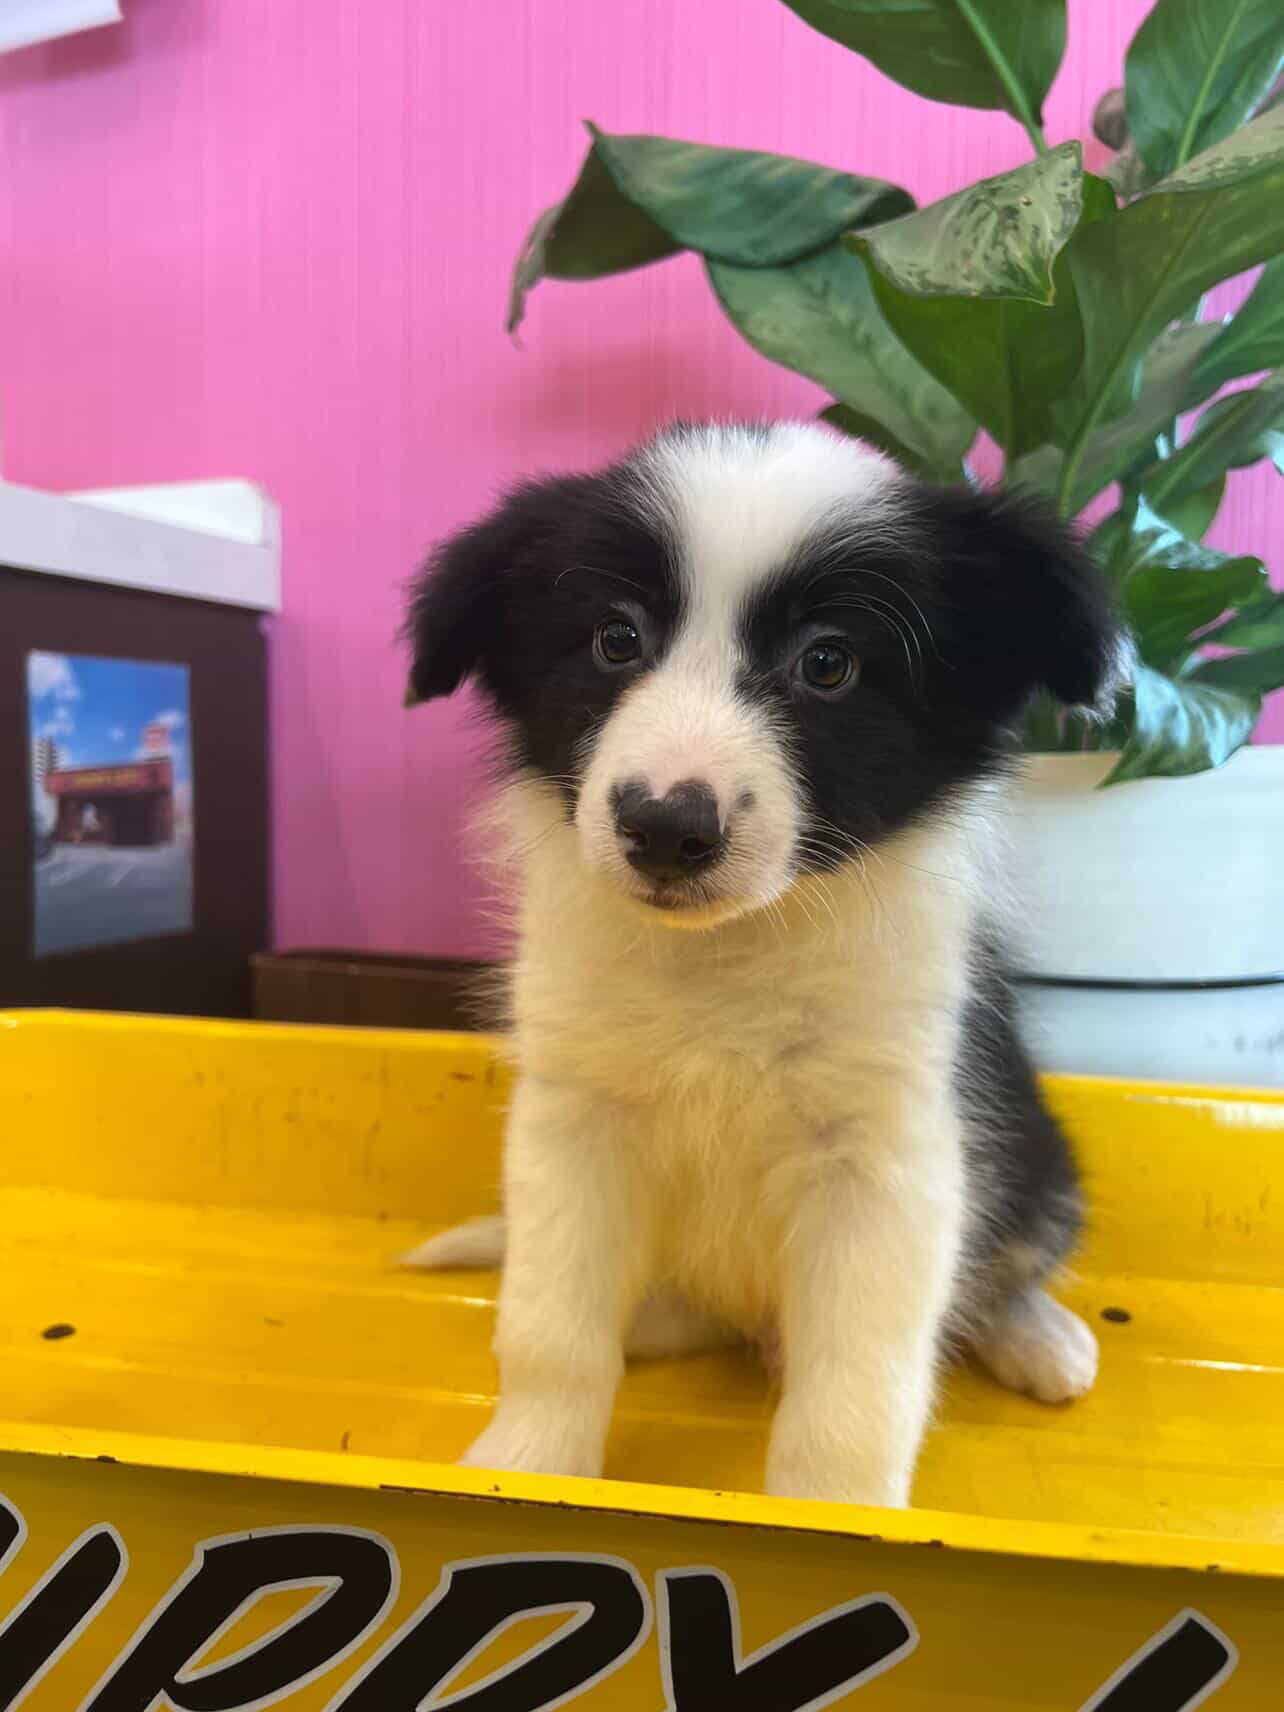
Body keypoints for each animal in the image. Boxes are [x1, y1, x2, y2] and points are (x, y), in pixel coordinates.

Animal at [402, 421, 1114, 1508]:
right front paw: (526, 1462)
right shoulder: (574, 1123)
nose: (663, 827)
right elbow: (551, 1329)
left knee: (1005, 1266)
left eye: (829, 662)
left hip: (1039, 1161)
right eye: (615, 639)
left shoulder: (887, 1155)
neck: (729, 955)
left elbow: (856, 1390)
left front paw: (835, 1514)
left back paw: (1041, 1337)